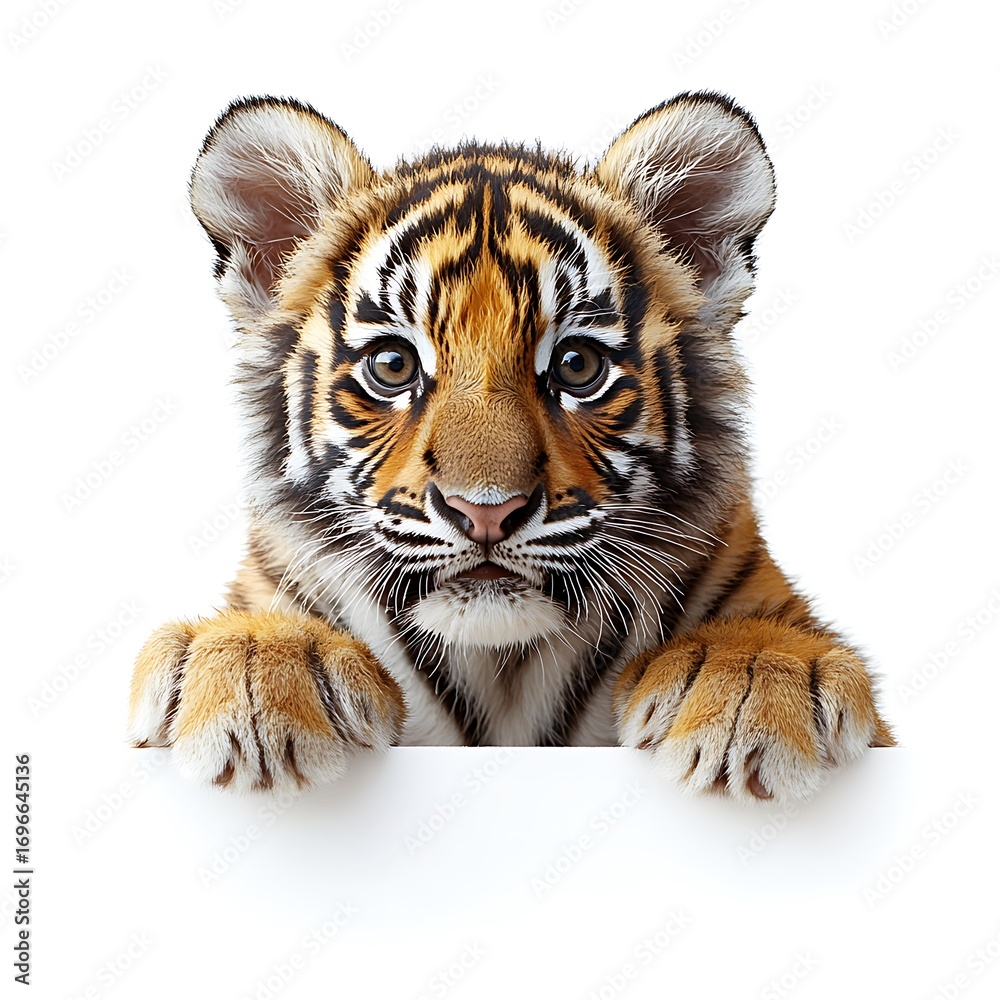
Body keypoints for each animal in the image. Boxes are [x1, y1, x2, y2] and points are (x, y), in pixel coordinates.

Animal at [127, 91, 894, 804]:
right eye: (392, 366)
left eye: (579, 367)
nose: (486, 512)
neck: (504, 672)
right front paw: (254, 665)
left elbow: (759, 639)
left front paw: (752, 680)